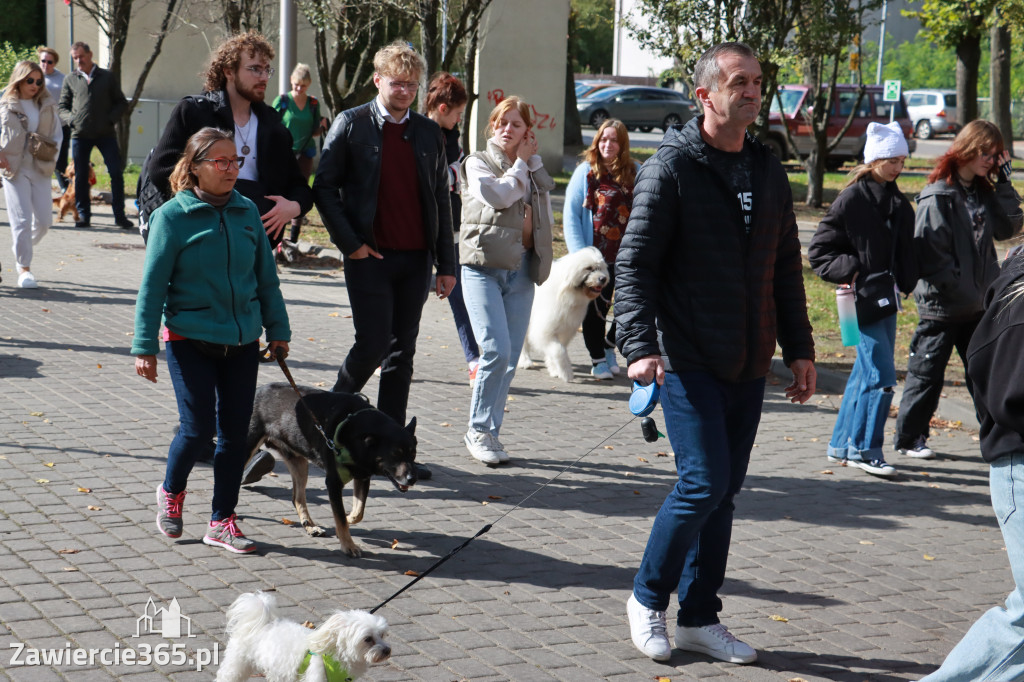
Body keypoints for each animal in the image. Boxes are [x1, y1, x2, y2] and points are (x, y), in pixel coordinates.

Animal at [245, 378, 417, 557]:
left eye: (413, 453)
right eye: (395, 454)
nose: (413, 478)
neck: (357, 434)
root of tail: (259, 389)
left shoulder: (362, 476)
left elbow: (358, 513)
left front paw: (348, 521)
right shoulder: (333, 482)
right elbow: (340, 516)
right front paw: (348, 545)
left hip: (299, 462)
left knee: (297, 498)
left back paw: (310, 526)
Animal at [520, 245, 606, 382]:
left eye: (600, 268)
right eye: (588, 268)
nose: (603, 279)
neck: (568, 294)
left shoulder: (565, 330)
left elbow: (557, 350)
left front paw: (555, 369)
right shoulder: (543, 331)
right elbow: (558, 350)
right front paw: (566, 373)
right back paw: (525, 361)